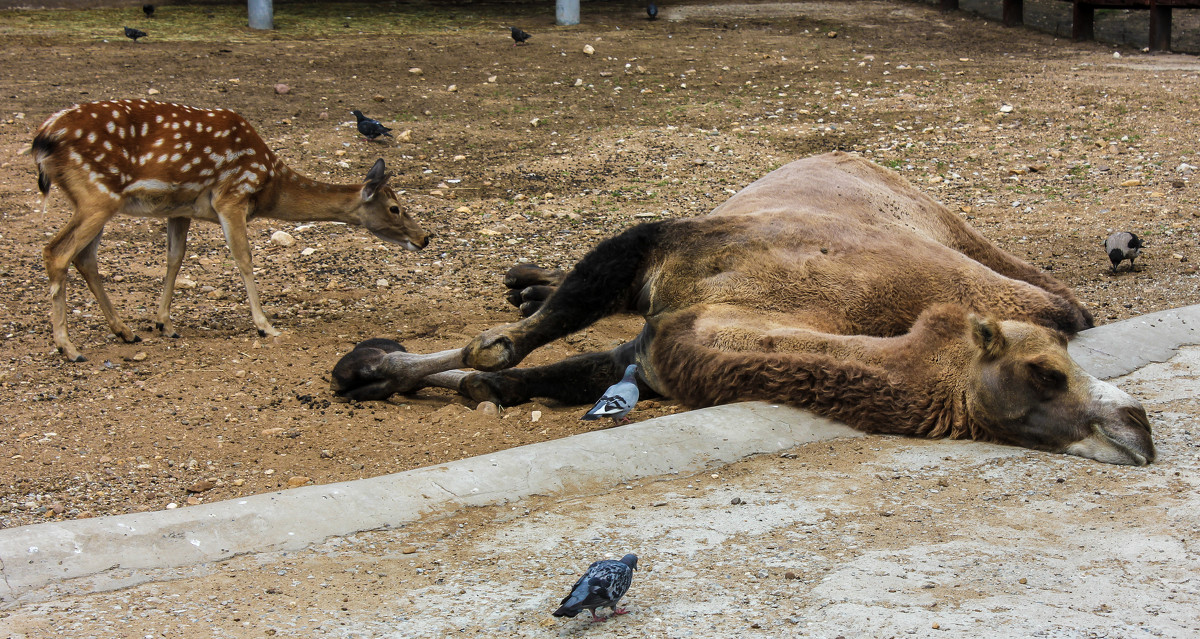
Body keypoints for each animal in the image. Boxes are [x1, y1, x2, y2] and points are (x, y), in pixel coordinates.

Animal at [31, 97, 432, 362]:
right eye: (395, 208)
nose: (424, 237)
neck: (269, 184)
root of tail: (42, 139)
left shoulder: (181, 207)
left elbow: (175, 258)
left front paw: (164, 323)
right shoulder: (232, 196)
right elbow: (244, 258)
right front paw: (265, 325)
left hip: (96, 201)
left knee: (84, 258)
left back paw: (124, 331)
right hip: (97, 194)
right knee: (56, 251)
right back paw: (69, 347)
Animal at [333, 152, 1156, 466]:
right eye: (1044, 372)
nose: (1139, 427)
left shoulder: (654, 345)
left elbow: (528, 373)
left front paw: (375, 366)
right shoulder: (667, 245)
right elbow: (513, 344)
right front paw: (371, 362)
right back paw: (521, 287)